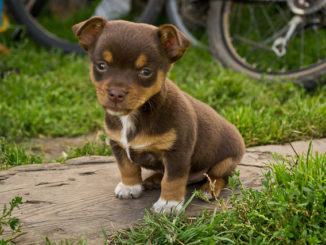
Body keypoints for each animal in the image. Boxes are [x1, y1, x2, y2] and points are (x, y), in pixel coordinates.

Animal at [72, 16, 244, 214]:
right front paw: (130, 187)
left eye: (146, 72)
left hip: (226, 161)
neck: (135, 114)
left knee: (220, 176)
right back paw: (153, 179)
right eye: (101, 66)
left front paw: (169, 204)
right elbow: (126, 168)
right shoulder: (118, 144)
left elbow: (172, 180)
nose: (116, 94)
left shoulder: (177, 153)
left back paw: (208, 189)